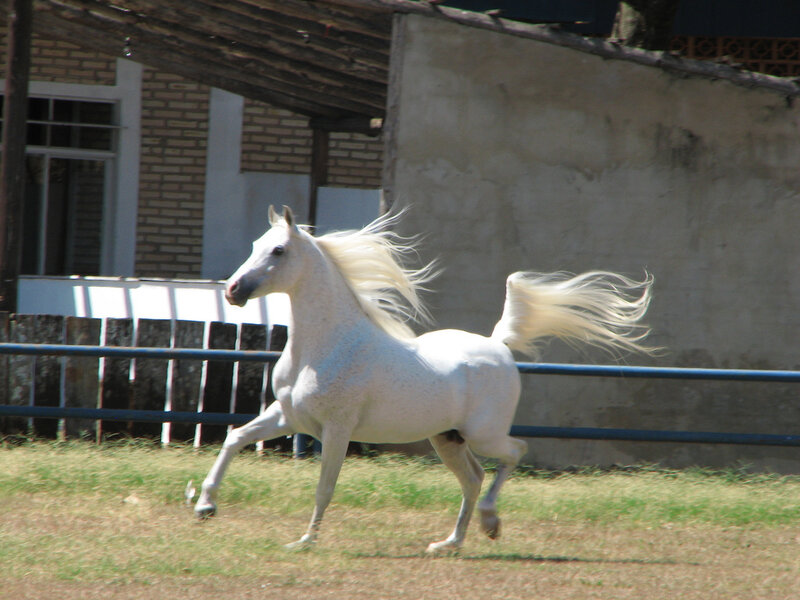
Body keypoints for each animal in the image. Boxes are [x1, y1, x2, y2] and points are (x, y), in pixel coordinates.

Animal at [194, 205, 656, 553]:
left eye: (278, 249)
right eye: (255, 246)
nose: (233, 290)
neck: (325, 345)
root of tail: (499, 345)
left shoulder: (336, 429)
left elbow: (325, 486)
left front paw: (305, 541)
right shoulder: (289, 417)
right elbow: (235, 437)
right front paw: (204, 505)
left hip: (483, 434)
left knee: (514, 453)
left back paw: (490, 523)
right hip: (447, 438)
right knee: (474, 478)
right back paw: (450, 542)